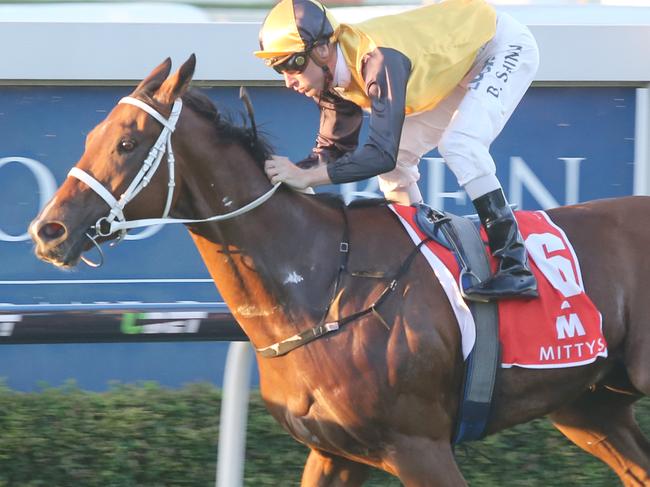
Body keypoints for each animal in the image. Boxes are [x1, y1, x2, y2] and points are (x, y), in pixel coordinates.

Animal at [29, 56, 648, 484]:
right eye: (91, 137)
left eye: (127, 143)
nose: (47, 231)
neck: (324, 282)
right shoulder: (333, 452)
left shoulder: (420, 446)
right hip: (592, 408)